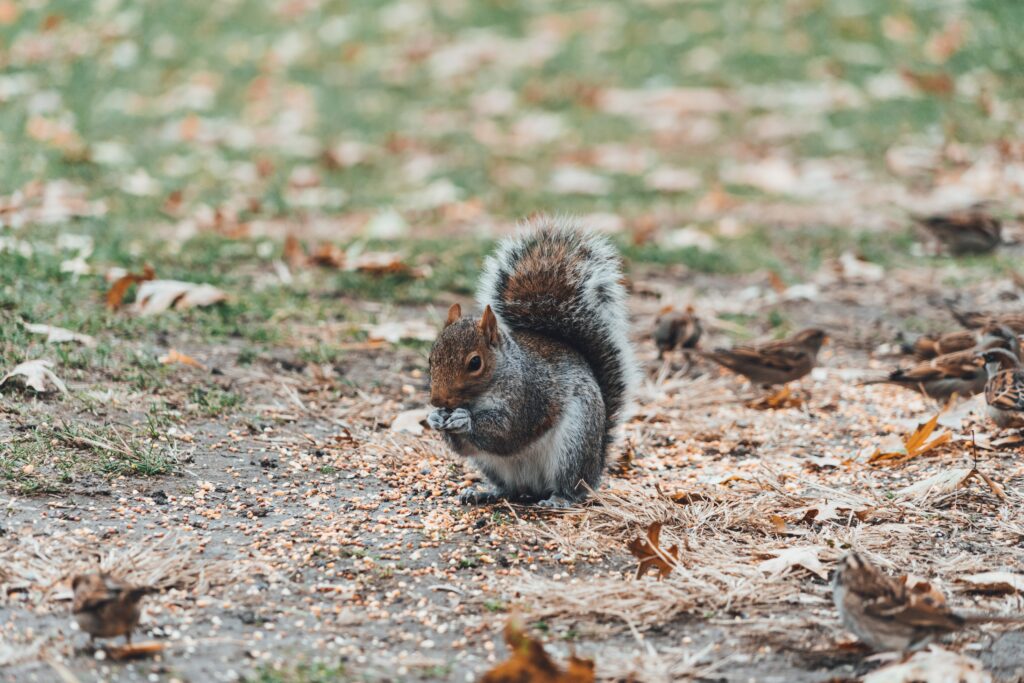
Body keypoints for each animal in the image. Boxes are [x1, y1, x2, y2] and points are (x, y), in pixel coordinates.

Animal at [427, 217, 638, 508]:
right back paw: (484, 492)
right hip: (492, 466)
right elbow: (463, 446)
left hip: (573, 445)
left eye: (475, 363)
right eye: (430, 358)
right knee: (510, 488)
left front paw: (463, 419)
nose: (437, 400)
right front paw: (435, 418)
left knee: (571, 485)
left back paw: (559, 499)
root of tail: (595, 467)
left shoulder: (528, 396)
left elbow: (507, 431)